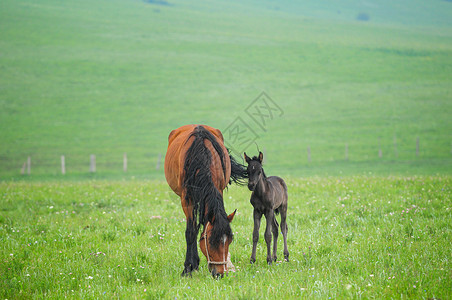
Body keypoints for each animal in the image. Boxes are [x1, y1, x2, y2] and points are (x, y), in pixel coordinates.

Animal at [164, 123, 247, 276]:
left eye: (229, 241)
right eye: (211, 242)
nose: (220, 274)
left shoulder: (218, 190)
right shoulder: (187, 199)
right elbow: (191, 231)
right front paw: (188, 268)